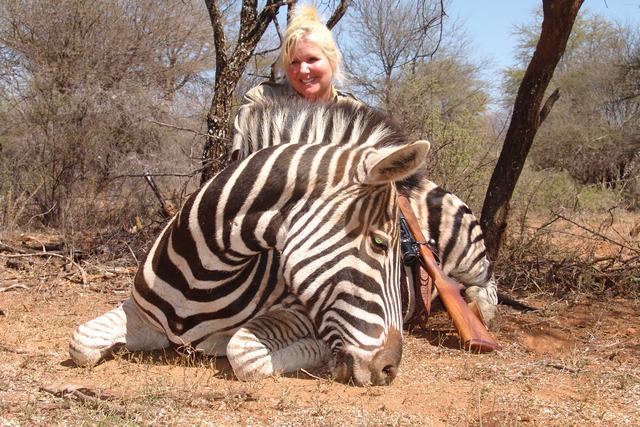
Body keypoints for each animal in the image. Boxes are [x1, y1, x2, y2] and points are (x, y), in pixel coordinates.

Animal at [69, 101, 431, 386]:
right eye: (379, 243)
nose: (390, 370)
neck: (201, 275)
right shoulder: (140, 313)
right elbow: (80, 342)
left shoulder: (299, 312)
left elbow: (244, 353)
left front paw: (323, 353)